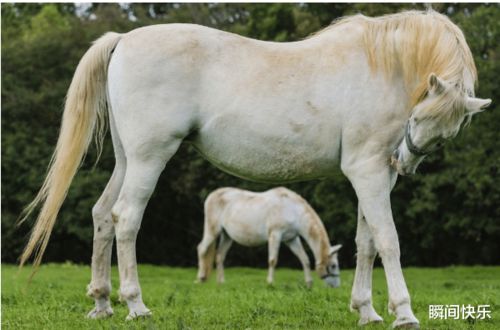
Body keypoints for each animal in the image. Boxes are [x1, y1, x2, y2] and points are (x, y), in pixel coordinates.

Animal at [197, 187, 342, 288]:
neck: (292, 209)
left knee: (220, 256)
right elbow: (273, 260)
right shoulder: (275, 235)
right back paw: (200, 278)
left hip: (227, 236)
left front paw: (309, 283)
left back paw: (221, 282)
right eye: (333, 265)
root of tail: (211, 195)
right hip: (212, 230)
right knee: (202, 249)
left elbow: (304, 259)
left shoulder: (292, 239)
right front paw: (270, 283)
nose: (336, 286)